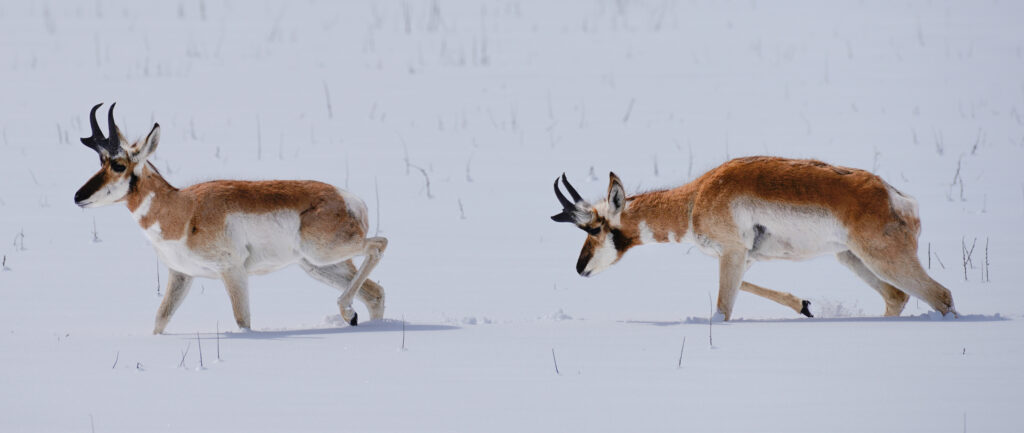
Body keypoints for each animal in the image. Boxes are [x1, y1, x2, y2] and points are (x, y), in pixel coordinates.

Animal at [72, 103, 385, 333]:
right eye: (100, 162)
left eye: (118, 165)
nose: (77, 197)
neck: (183, 209)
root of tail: (350, 200)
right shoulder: (181, 275)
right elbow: (160, 320)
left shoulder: (232, 271)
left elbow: (242, 321)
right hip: (319, 266)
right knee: (376, 292)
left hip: (325, 254)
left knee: (379, 244)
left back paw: (347, 311)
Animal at [552, 157, 958, 321]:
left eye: (594, 228)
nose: (579, 268)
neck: (696, 197)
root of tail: (894, 195)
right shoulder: (741, 257)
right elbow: (743, 286)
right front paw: (803, 305)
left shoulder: (731, 253)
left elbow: (722, 310)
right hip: (852, 258)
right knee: (897, 297)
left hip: (882, 258)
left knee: (941, 295)